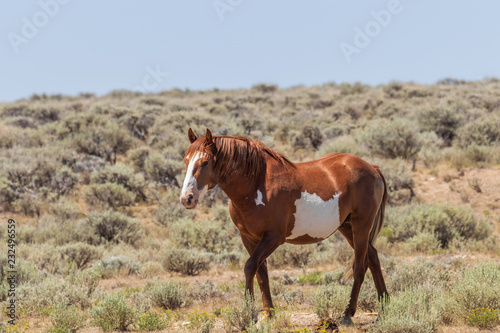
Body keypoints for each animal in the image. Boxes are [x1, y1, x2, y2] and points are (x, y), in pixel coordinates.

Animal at [180, 127, 390, 324]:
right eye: (186, 160)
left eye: (205, 162)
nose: (187, 198)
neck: (257, 186)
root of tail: (372, 168)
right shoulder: (249, 238)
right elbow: (261, 272)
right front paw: (268, 313)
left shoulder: (273, 238)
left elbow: (250, 266)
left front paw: (249, 313)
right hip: (347, 227)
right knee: (373, 258)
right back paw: (383, 309)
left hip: (361, 225)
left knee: (360, 266)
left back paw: (347, 314)